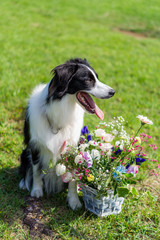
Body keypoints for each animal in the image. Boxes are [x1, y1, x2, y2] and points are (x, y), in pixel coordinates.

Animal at [19, 57, 115, 208]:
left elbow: (73, 178)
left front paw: (74, 200)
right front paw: (36, 191)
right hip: (24, 153)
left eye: (96, 78)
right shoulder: (35, 145)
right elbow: (36, 171)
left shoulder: (73, 147)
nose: (113, 92)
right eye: (88, 80)